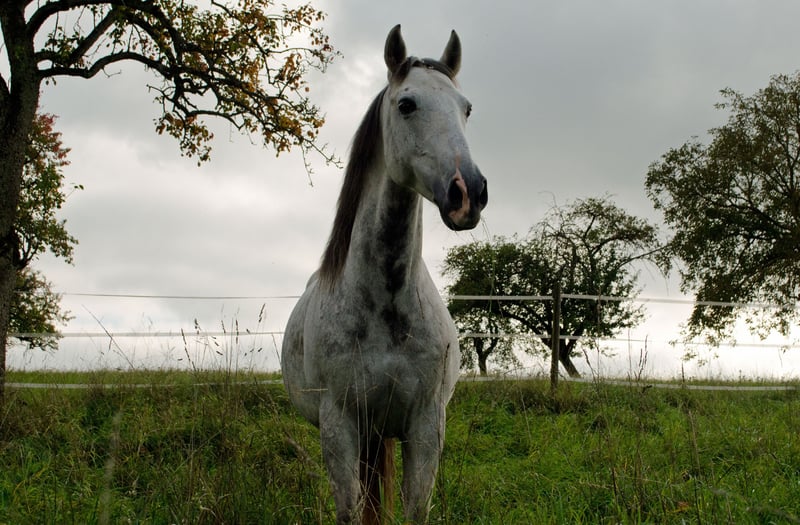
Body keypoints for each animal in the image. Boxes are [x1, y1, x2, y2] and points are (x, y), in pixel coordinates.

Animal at [281, 24, 487, 524]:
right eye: (406, 104)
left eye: (466, 108)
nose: (468, 193)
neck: (387, 302)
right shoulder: (339, 426)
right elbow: (351, 511)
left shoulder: (426, 427)